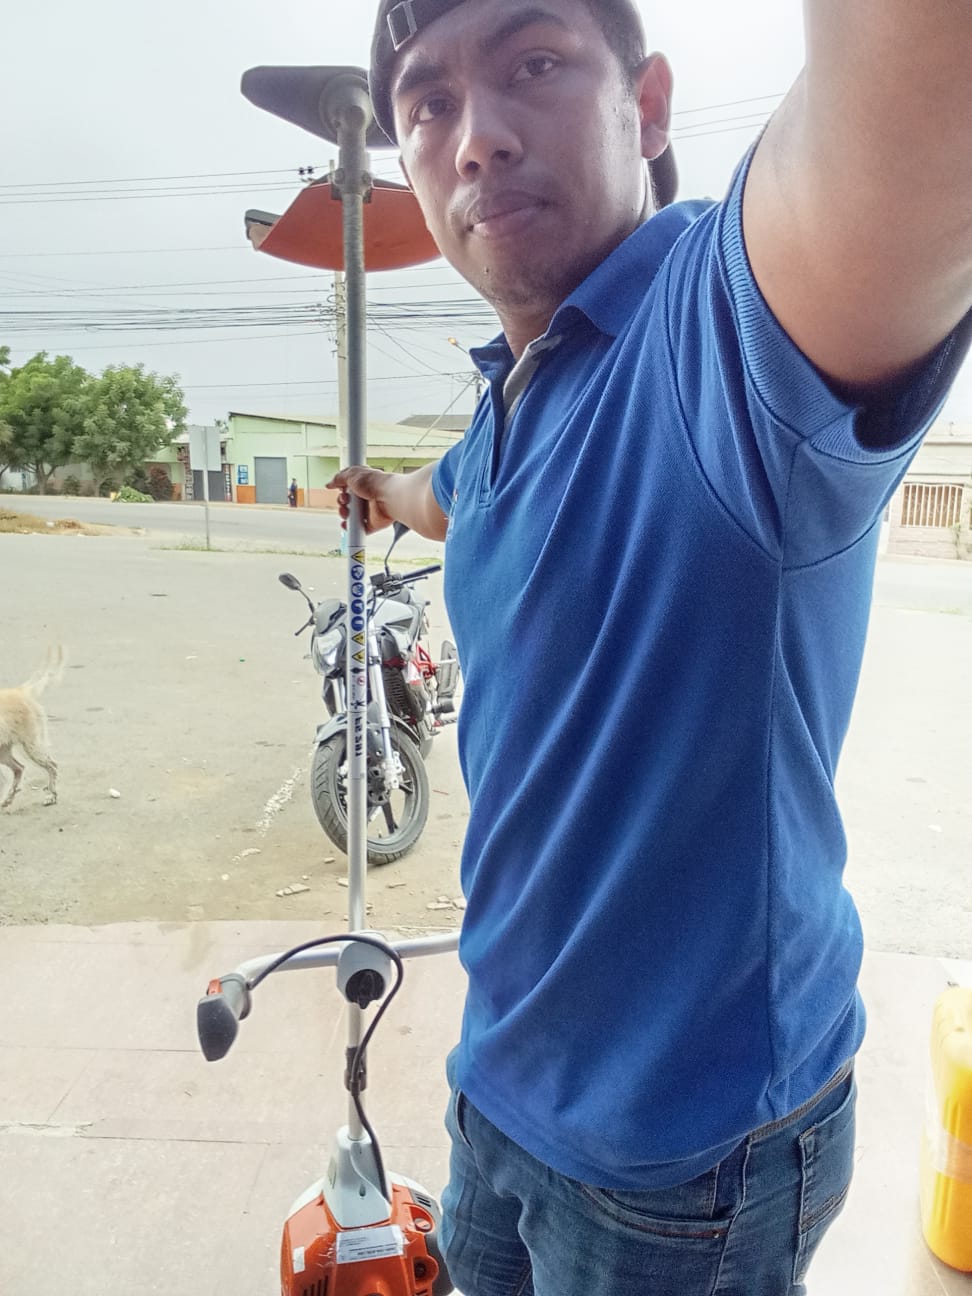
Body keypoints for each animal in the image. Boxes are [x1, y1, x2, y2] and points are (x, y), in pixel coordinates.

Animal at [0, 646, 64, 810]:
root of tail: (20, 691)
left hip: (33, 746)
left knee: (52, 765)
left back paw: (51, 795)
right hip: (4, 751)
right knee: (19, 768)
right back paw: (7, 799)